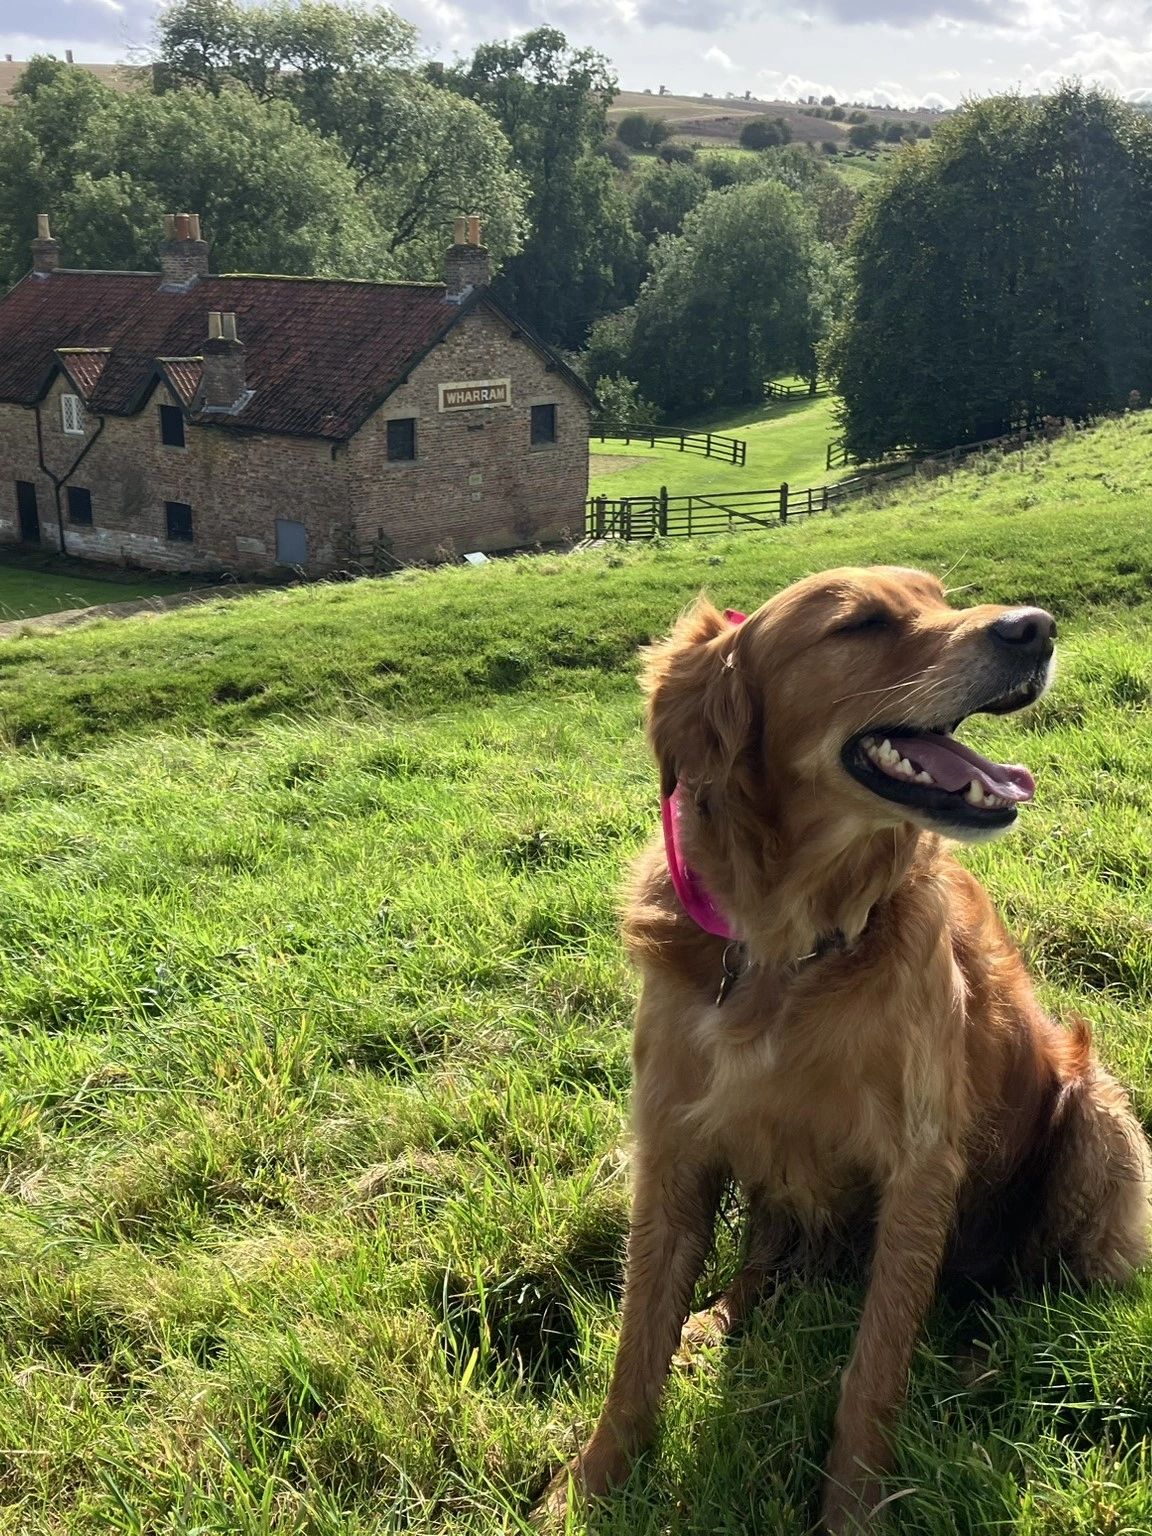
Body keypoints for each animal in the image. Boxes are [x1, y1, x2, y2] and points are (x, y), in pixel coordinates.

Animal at [540, 571, 1152, 1529]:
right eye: (862, 623)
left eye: (940, 596)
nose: (1037, 628)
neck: (787, 942)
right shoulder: (673, 1144)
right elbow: (638, 1342)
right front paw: (592, 1485)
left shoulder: (920, 1166)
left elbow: (873, 1370)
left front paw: (856, 1510)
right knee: (764, 1262)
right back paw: (717, 1322)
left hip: (1097, 1119)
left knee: (1032, 1297)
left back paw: (979, 1360)